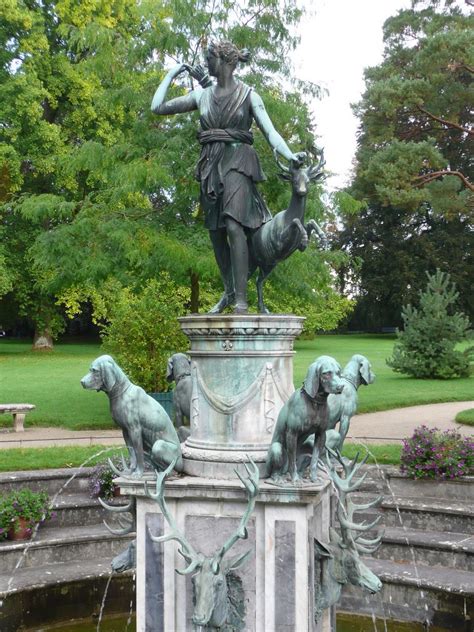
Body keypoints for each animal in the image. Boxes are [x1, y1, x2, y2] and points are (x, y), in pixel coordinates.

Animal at [264, 356, 342, 484]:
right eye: (326, 373)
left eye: (338, 372)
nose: (341, 387)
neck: (315, 403)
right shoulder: (292, 433)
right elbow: (292, 462)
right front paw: (295, 479)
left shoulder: (321, 434)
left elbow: (314, 460)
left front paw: (314, 478)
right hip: (276, 449)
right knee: (277, 469)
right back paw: (279, 478)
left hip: (307, 449)